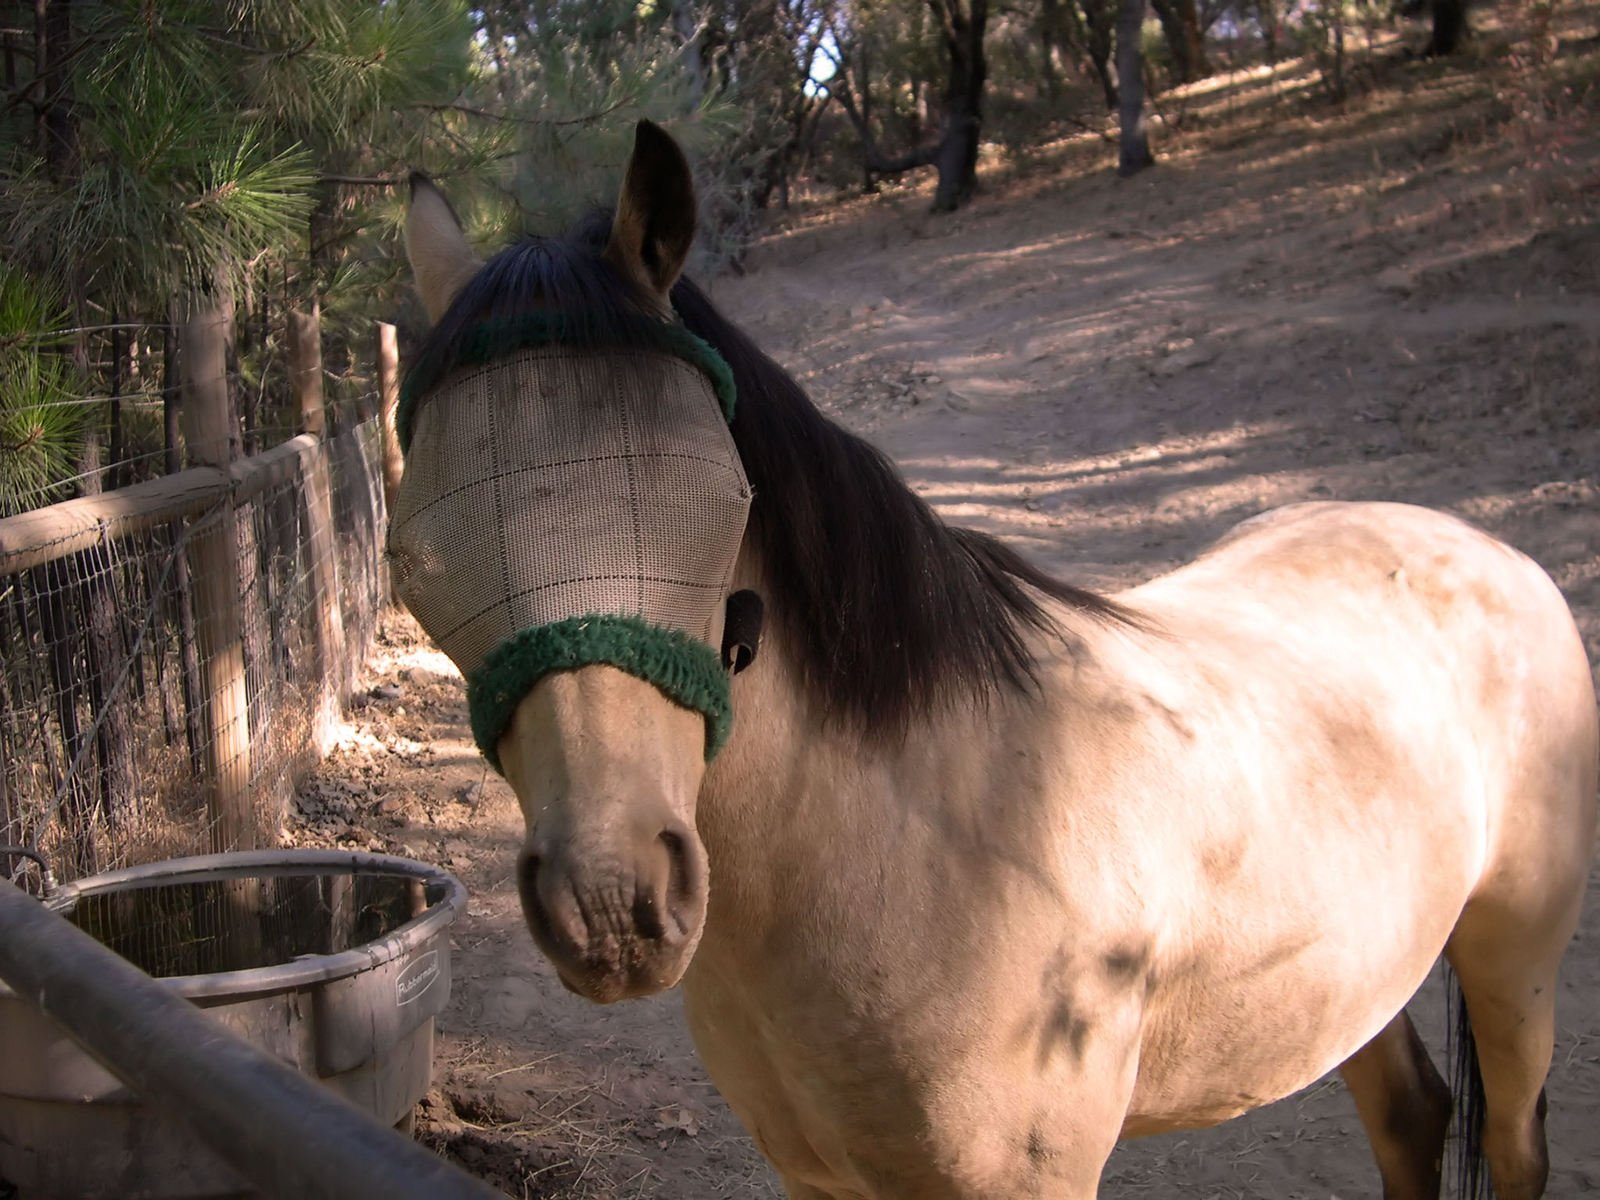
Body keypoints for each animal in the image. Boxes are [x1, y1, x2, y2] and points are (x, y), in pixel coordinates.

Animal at [390, 122, 1600, 1200]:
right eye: (415, 560)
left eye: (721, 498)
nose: (610, 902)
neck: (928, 837)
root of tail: (1484, 546)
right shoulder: (819, 1182)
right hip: (1357, 981)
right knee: (1411, 1120)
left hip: (1517, 965)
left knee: (1512, 1147)